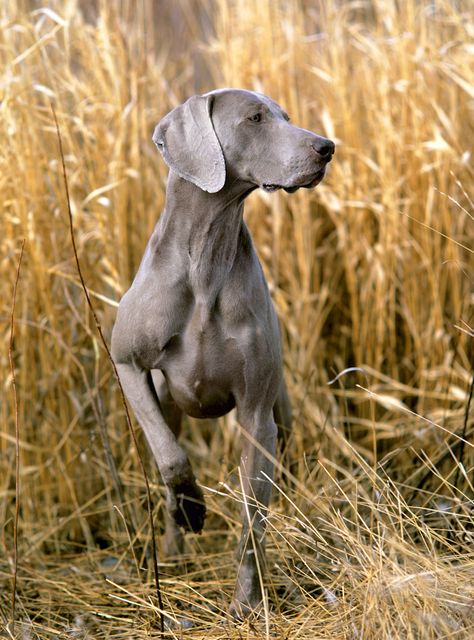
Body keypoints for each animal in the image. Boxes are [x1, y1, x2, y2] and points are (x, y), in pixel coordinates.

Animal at [110, 89, 334, 616]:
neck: (206, 257)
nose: (327, 147)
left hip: (282, 413)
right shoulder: (126, 361)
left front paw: (247, 605)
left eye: (286, 117)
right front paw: (191, 509)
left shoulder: (257, 416)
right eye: (255, 118)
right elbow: (171, 459)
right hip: (164, 399)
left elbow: (253, 519)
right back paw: (175, 543)